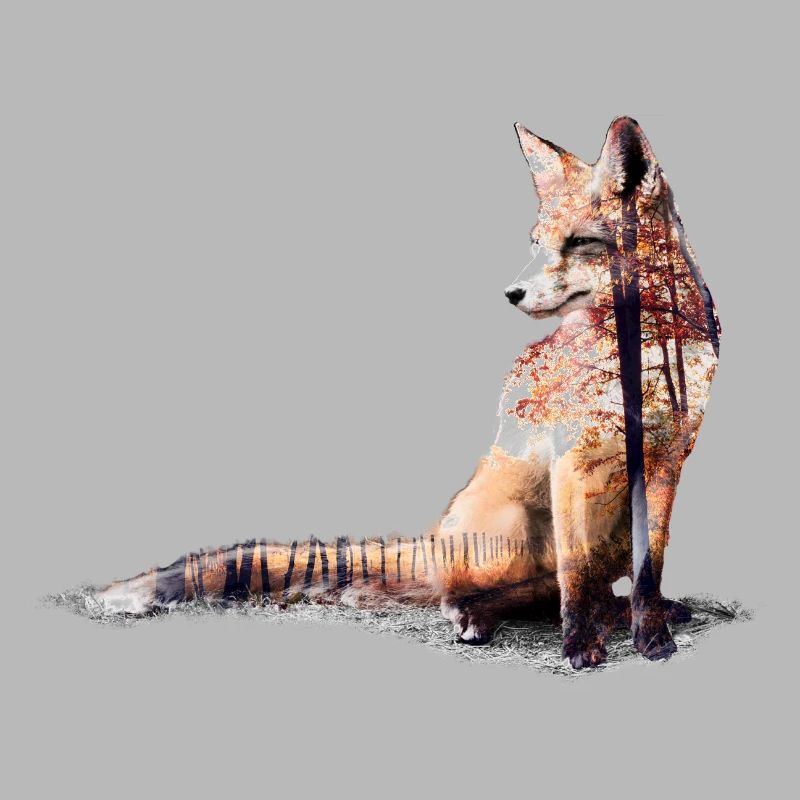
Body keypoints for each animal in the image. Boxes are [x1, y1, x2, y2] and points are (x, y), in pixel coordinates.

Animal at [87, 116, 720, 669]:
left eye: (581, 242)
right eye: (537, 243)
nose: (510, 293)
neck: (639, 363)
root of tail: (435, 536)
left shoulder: (666, 465)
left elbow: (649, 570)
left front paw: (650, 635)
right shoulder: (571, 462)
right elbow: (573, 575)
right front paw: (580, 645)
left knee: (568, 585)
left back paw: (611, 612)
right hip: (514, 525)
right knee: (484, 590)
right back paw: (478, 616)